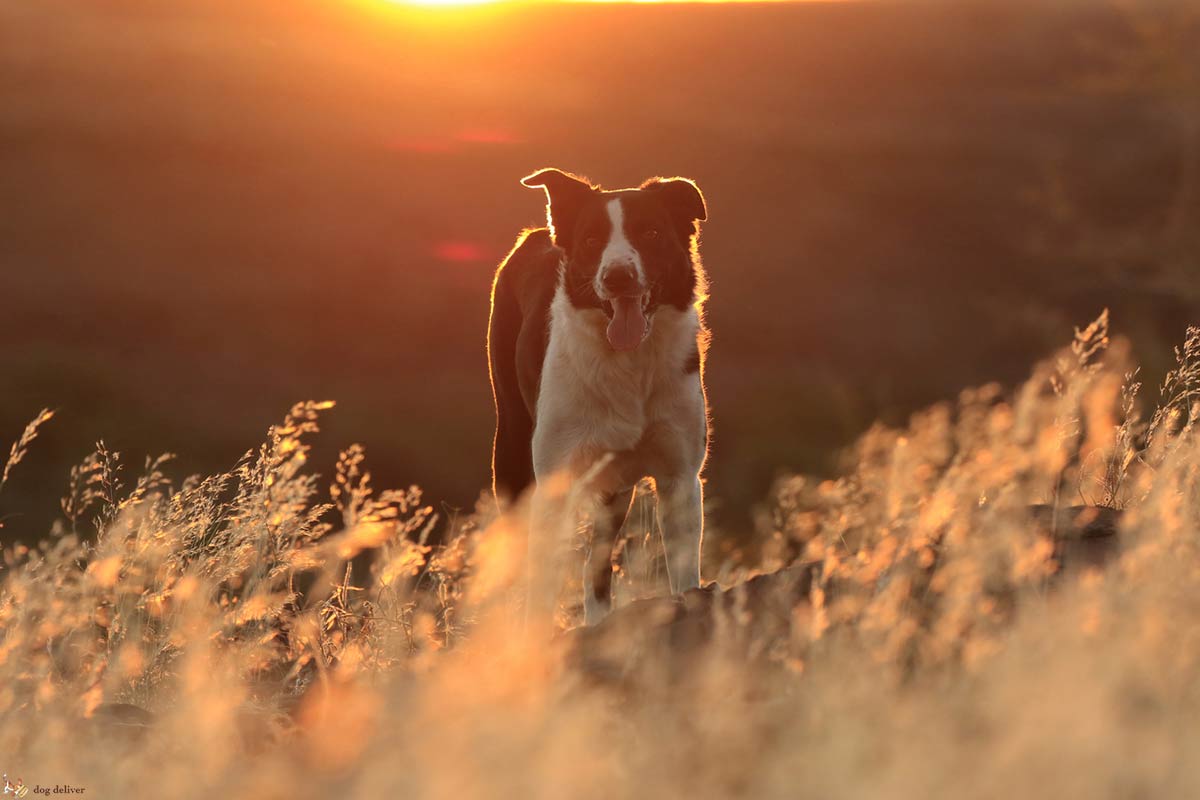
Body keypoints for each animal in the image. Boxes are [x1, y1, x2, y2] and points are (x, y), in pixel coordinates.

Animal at [487, 165, 710, 623]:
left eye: (651, 232)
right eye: (591, 240)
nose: (617, 276)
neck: (629, 365)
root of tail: (537, 234)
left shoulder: (680, 476)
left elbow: (683, 573)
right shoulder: (553, 482)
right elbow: (541, 589)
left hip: (614, 488)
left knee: (598, 560)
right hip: (511, 449)